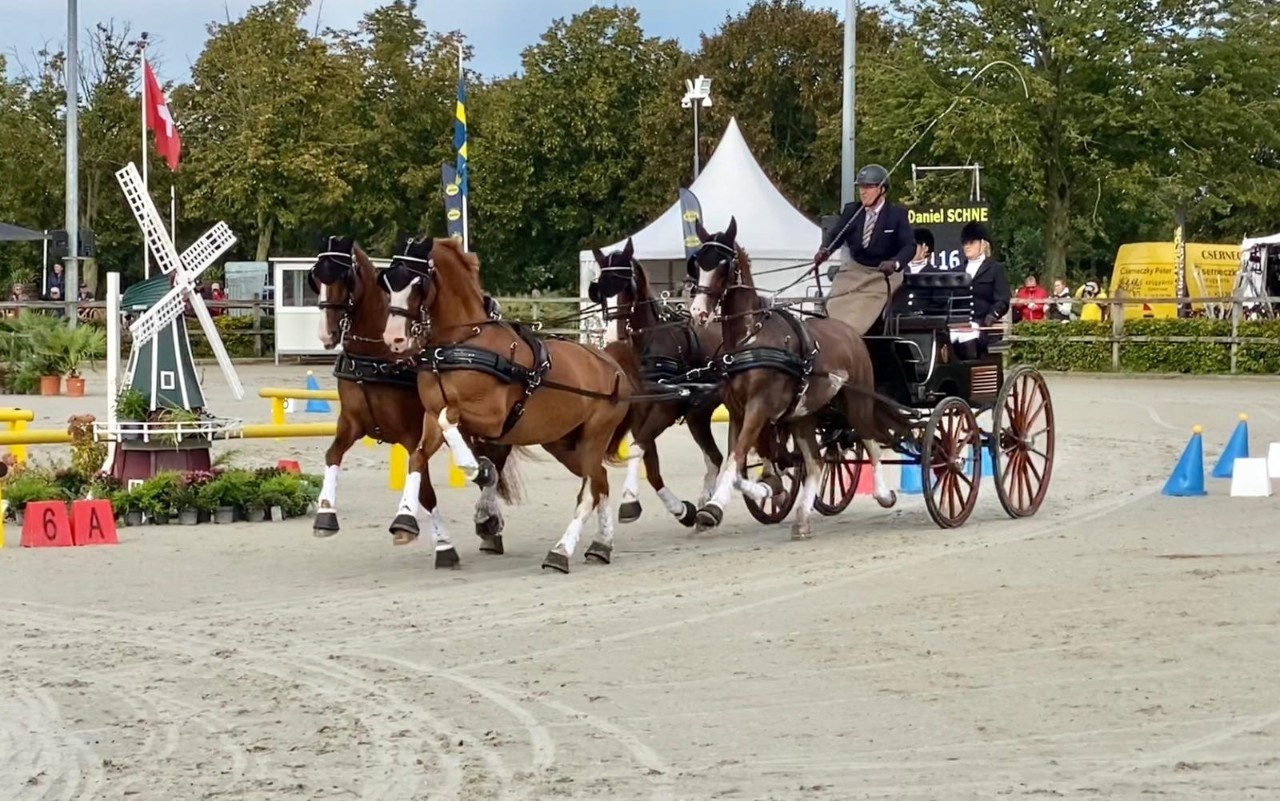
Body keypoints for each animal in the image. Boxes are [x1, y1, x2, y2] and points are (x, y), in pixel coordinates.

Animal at [308, 235, 514, 560]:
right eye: (316, 278)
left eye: (345, 276)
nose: (326, 333)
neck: (376, 357)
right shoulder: (351, 424)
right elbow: (332, 455)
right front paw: (325, 515)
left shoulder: (409, 434)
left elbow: (426, 491)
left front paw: (441, 544)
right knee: (488, 464)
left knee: (495, 464)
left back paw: (488, 519)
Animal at [378, 236, 640, 573]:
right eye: (387, 282)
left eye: (417, 282)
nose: (394, 339)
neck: (462, 342)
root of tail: (611, 364)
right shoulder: (432, 415)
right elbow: (418, 456)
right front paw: (405, 520)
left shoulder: (492, 417)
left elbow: (452, 420)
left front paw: (476, 470)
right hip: (564, 443)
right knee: (600, 482)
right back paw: (601, 545)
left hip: (596, 435)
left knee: (588, 493)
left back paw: (561, 552)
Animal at [686, 218, 916, 537]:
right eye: (697, 265)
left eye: (723, 264)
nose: (697, 311)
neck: (751, 339)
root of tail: (850, 332)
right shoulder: (738, 410)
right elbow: (739, 462)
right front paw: (766, 490)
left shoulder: (759, 407)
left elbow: (737, 457)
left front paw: (715, 507)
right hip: (804, 414)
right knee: (817, 462)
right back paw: (803, 517)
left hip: (857, 401)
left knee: (869, 440)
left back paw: (883, 494)